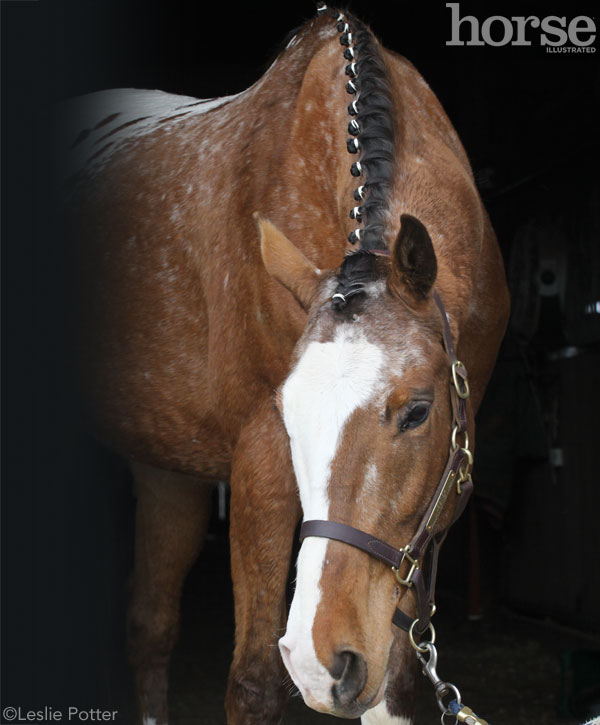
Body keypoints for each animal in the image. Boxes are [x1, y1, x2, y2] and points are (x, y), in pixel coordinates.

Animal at [61, 5, 508, 724]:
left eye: (418, 412)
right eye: (289, 414)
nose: (321, 659)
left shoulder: (431, 518)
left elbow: (398, 688)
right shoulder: (260, 460)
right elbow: (254, 682)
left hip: (165, 470)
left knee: (149, 626)